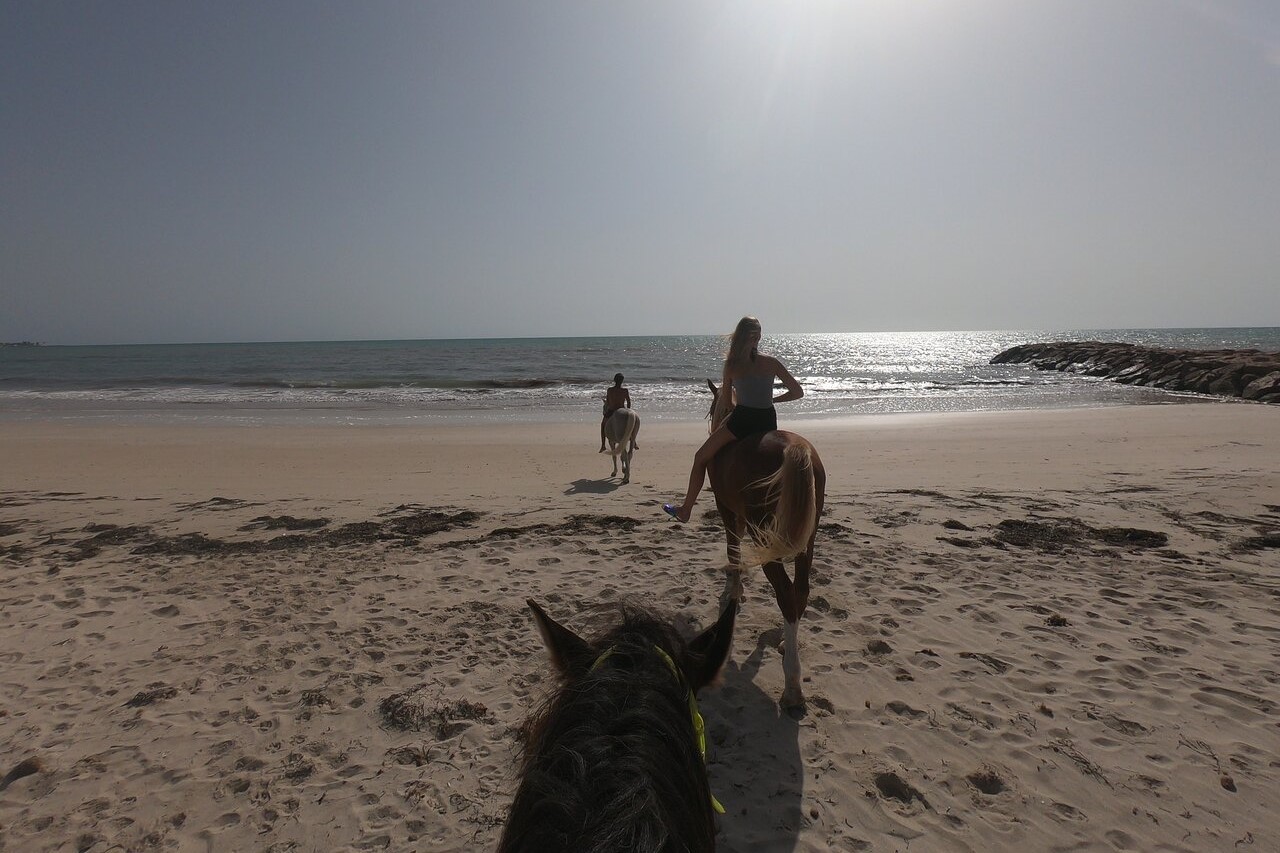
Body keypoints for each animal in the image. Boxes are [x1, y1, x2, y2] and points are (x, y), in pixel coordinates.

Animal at [706, 381, 824, 706]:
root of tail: (793, 448)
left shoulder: (725, 507)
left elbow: (732, 546)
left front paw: (735, 589)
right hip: (805, 538)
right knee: (800, 591)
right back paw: (786, 640)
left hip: (765, 535)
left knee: (785, 591)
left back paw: (792, 685)